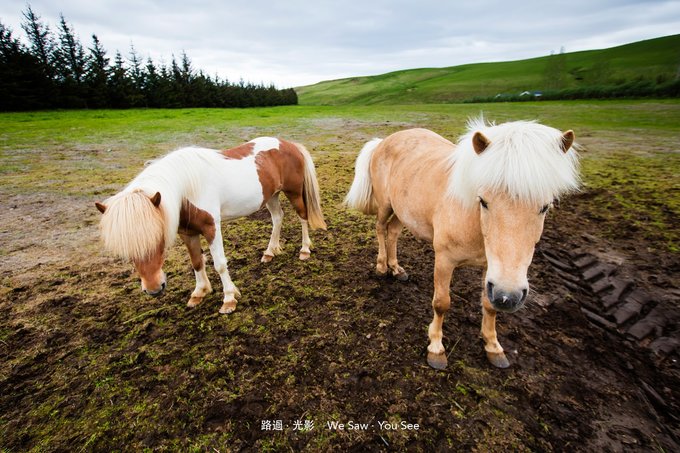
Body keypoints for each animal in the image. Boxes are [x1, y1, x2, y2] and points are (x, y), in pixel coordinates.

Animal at [95, 138, 326, 314]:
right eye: (127, 248)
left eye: (159, 238)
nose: (153, 289)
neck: (185, 189)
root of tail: (290, 144)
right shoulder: (187, 233)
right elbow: (197, 262)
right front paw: (200, 292)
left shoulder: (211, 227)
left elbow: (220, 264)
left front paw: (229, 299)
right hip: (271, 195)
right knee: (278, 218)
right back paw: (270, 252)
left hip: (293, 192)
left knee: (303, 217)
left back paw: (305, 250)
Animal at [346, 119, 580, 368]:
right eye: (483, 201)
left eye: (545, 206)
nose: (509, 297)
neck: (472, 219)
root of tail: (385, 141)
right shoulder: (444, 260)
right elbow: (441, 303)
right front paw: (436, 348)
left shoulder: (491, 271)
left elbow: (489, 305)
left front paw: (493, 346)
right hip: (385, 205)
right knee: (381, 229)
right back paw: (382, 267)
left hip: (404, 211)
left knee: (392, 233)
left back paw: (396, 269)